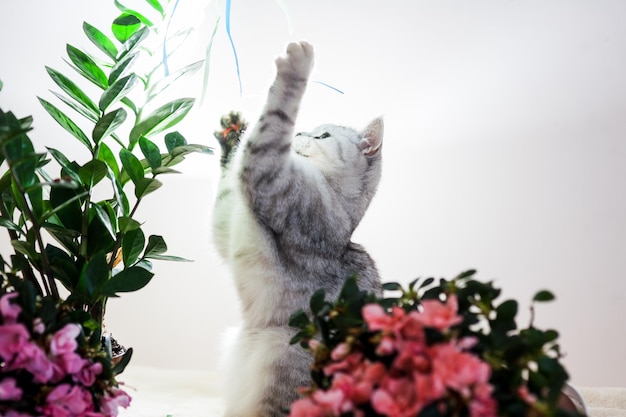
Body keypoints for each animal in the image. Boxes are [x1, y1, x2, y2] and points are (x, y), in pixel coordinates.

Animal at [212, 41, 382, 416]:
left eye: (323, 135)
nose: (302, 132)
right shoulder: (229, 222)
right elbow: (230, 176)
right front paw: (232, 134)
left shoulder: (267, 178)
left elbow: (276, 116)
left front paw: (296, 67)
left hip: (281, 355)